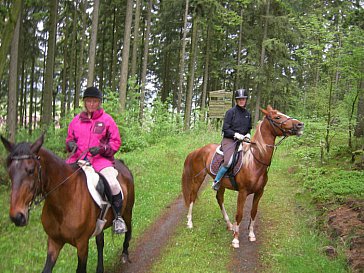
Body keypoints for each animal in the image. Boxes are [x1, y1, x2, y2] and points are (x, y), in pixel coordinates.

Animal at [0, 134, 134, 272]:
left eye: (31, 170)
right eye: (10, 171)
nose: (17, 216)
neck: (63, 203)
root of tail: (122, 165)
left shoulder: (82, 244)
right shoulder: (54, 242)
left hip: (127, 211)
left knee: (129, 228)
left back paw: (124, 253)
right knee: (100, 242)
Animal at [182, 105, 304, 248]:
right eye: (277, 117)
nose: (300, 124)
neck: (255, 162)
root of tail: (199, 150)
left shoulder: (259, 192)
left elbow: (253, 212)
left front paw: (251, 234)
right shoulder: (242, 192)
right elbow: (239, 214)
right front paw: (236, 239)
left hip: (221, 183)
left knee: (219, 198)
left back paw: (229, 224)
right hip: (198, 179)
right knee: (192, 196)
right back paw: (190, 222)